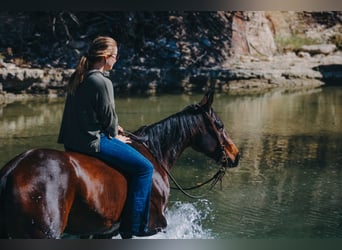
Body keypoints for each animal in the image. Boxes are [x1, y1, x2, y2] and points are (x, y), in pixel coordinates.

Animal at [0, 90, 239, 238]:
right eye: (219, 125)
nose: (235, 155)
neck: (155, 153)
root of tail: (11, 172)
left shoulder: (104, 232)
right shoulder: (154, 225)